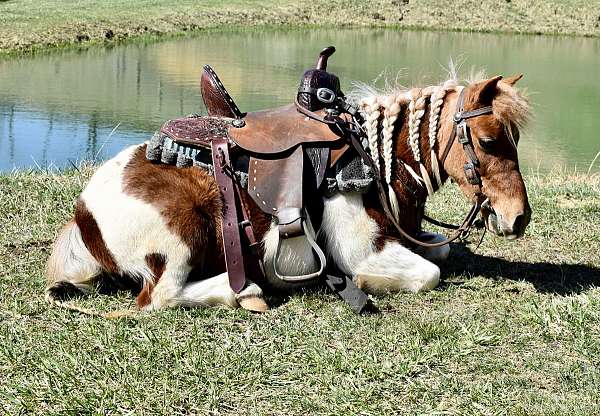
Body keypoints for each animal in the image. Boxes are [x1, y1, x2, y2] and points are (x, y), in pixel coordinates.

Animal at [45, 73, 528, 314]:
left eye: (516, 138)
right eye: (488, 141)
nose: (518, 217)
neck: (375, 161)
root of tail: (83, 215)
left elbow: (439, 252)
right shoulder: (361, 251)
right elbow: (429, 274)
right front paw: (364, 284)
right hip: (179, 238)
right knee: (160, 299)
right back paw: (246, 291)